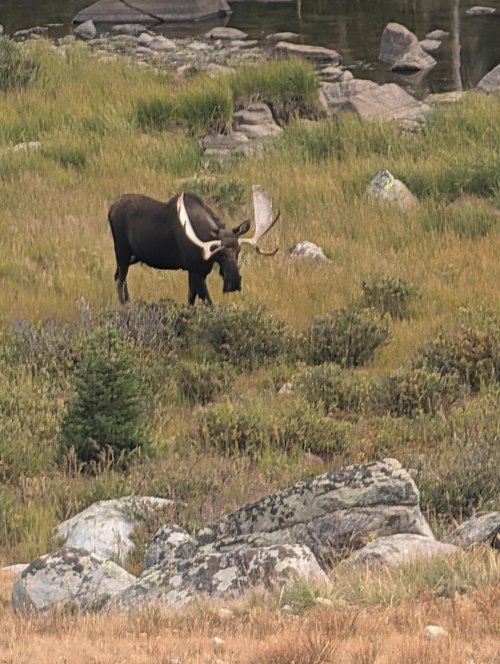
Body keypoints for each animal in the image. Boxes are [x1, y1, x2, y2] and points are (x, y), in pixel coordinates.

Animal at [108, 185, 279, 305]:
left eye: (238, 250)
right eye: (220, 253)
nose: (234, 282)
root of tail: (110, 210)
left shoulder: (198, 271)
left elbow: (191, 299)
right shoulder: (196, 270)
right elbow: (208, 301)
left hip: (132, 256)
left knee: (119, 278)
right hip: (121, 251)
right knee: (119, 279)